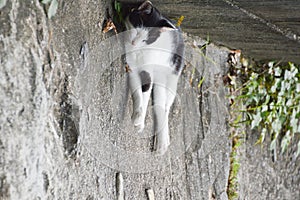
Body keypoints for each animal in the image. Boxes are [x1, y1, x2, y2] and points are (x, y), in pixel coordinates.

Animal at [123, 0, 184, 155]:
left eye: (146, 39)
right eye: (136, 30)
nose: (133, 43)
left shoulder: (148, 71)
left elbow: (145, 92)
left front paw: (138, 120)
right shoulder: (131, 67)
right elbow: (139, 93)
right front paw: (138, 118)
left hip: (172, 76)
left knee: (165, 107)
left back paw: (162, 142)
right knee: (159, 104)